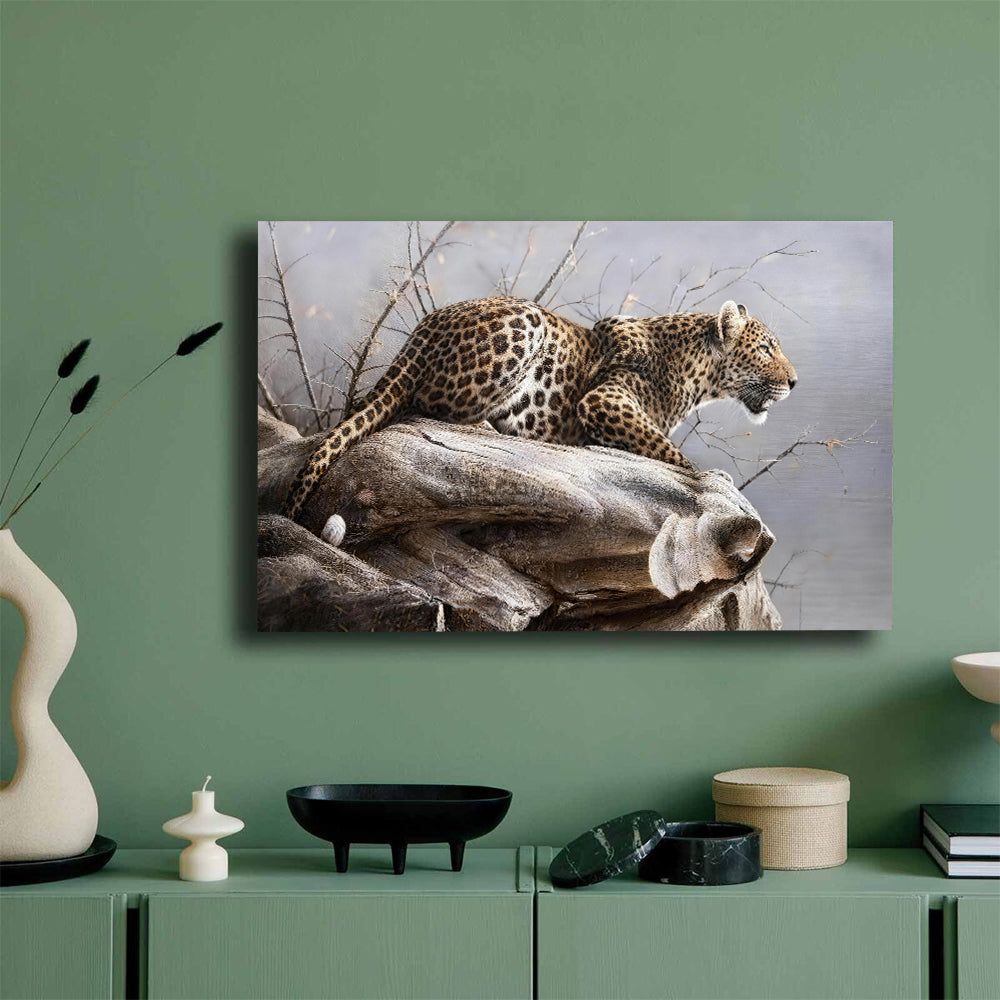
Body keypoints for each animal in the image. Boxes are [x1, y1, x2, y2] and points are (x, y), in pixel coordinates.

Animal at [281, 295, 797, 524]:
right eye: (767, 349)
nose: (794, 382)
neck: (698, 373)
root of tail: (424, 328)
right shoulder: (605, 399)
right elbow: (668, 451)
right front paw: (712, 482)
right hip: (526, 322)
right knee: (428, 404)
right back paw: (494, 427)